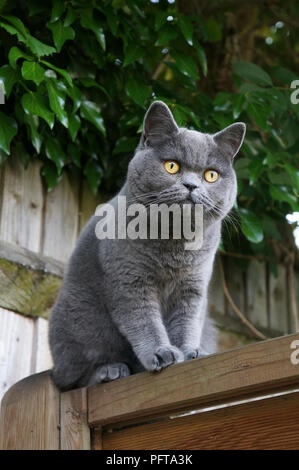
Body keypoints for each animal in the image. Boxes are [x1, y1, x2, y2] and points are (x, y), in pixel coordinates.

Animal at [48, 101, 246, 392]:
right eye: (172, 166)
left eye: (211, 175)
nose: (191, 185)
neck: (175, 241)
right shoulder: (130, 281)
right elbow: (144, 321)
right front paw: (161, 352)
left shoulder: (192, 288)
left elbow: (186, 322)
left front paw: (190, 352)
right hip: (81, 320)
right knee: (69, 378)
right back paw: (109, 371)